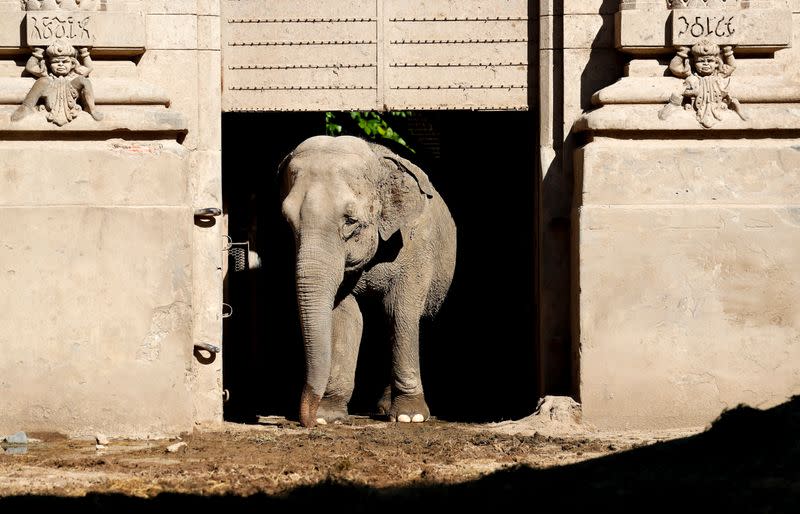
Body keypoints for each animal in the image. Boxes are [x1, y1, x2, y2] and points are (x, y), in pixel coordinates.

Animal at [280, 134, 456, 426]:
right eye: (287, 222)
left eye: (350, 221)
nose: (308, 422)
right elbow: (346, 315)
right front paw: (328, 417)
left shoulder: (417, 244)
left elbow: (400, 311)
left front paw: (410, 417)